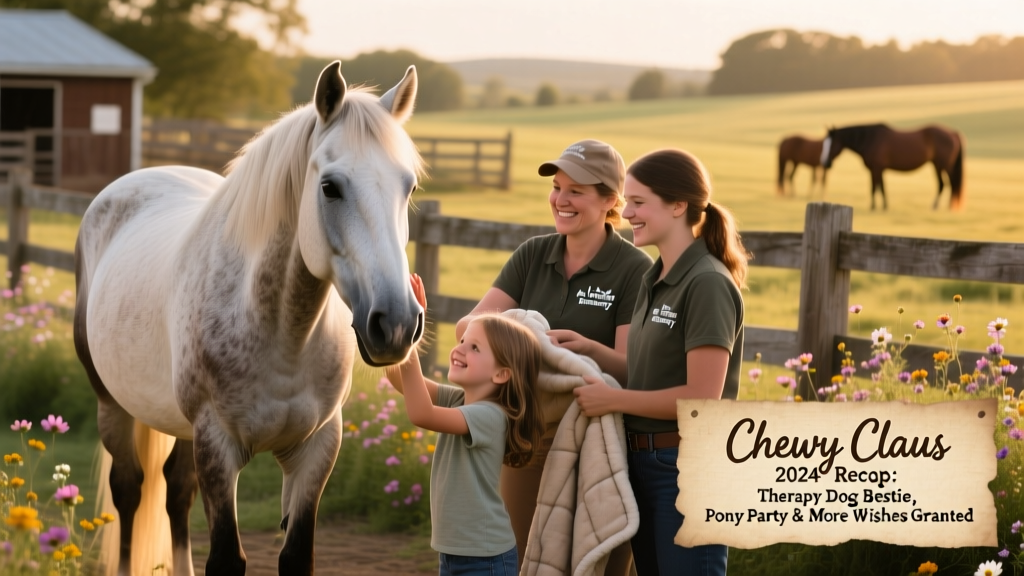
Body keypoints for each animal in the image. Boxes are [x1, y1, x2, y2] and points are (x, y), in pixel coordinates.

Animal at [73, 61, 425, 576]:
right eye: (330, 187)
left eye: (409, 186)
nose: (396, 323)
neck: (283, 334)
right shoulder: (218, 446)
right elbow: (225, 557)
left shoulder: (318, 448)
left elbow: (296, 555)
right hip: (112, 405)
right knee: (130, 491)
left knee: (176, 494)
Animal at [820, 123, 964, 211]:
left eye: (831, 144)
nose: (824, 162)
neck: (870, 138)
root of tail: (954, 133)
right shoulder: (878, 169)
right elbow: (881, 187)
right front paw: (884, 207)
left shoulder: (876, 168)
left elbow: (874, 188)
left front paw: (873, 208)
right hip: (937, 165)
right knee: (944, 184)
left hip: (945, 166)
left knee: (949, 184)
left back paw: (944, 207)